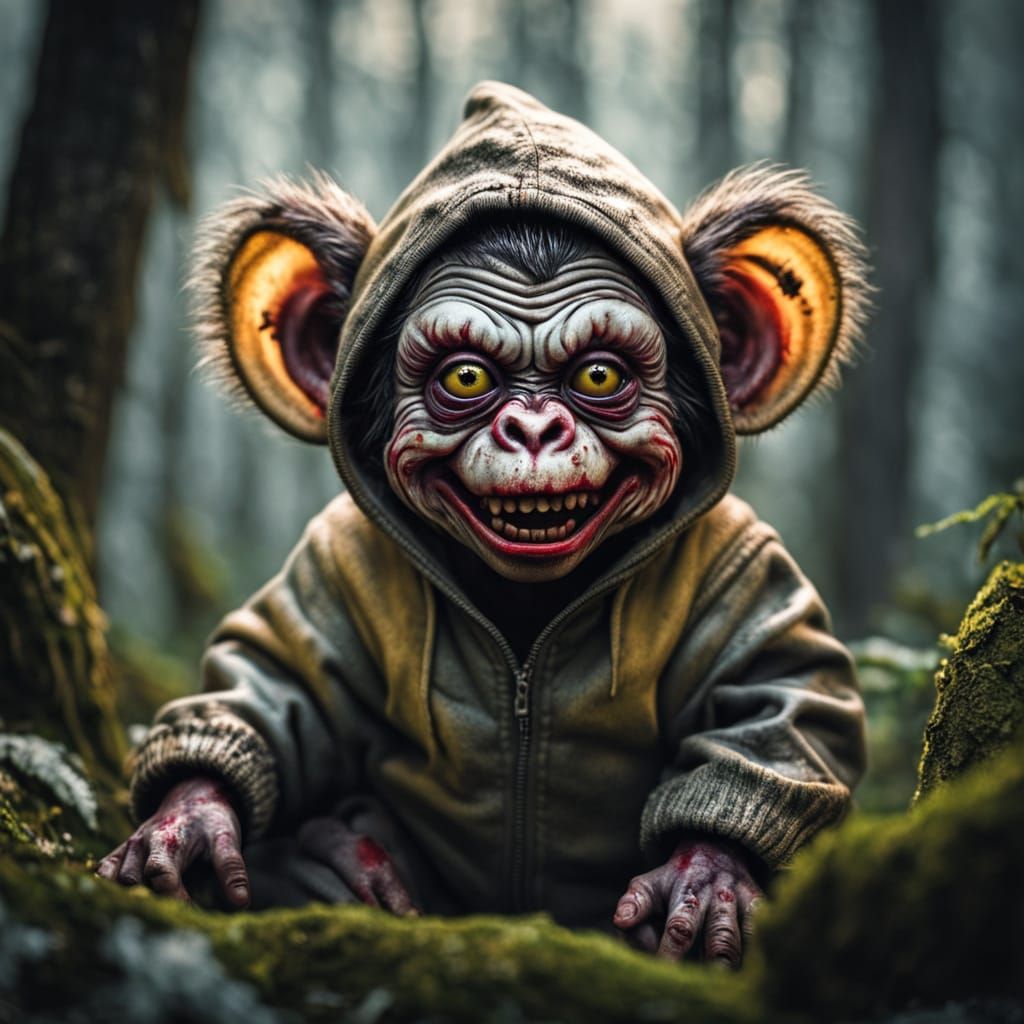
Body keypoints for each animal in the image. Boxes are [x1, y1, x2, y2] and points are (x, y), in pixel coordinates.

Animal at [98, 82, 868, 966]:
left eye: (597, 376)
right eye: (467, 377)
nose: (532, 429)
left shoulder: (738, 557)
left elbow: (784, 693)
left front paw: (707, 872)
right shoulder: (338, 557)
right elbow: (278, 680)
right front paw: (191, 812)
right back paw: (348, 858)